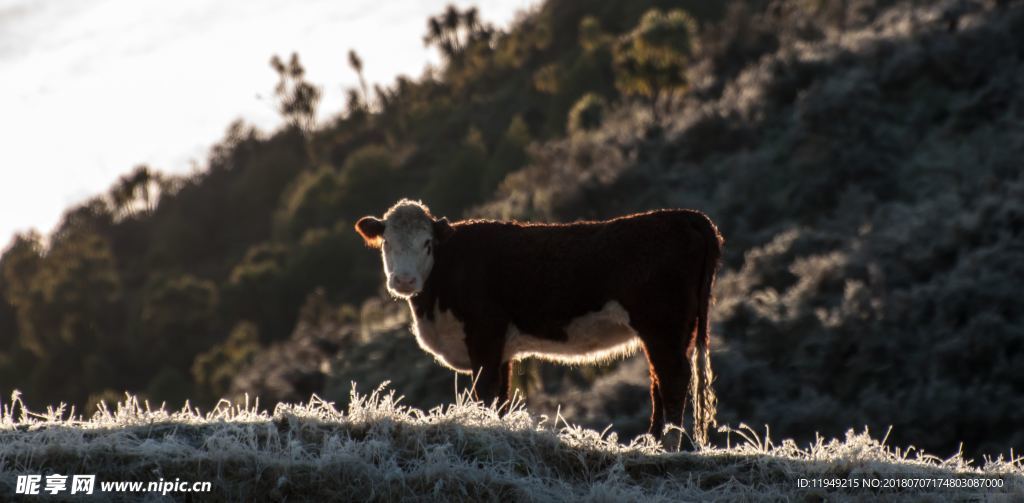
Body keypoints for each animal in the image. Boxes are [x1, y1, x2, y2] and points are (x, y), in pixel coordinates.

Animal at [356, 198, 724, 446]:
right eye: (387, 243)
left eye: (427, 243)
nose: (404, 280)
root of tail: (687, 216)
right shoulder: (502, 349)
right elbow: (501, 398)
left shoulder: (484, 334)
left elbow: (484, 391)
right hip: (675, 331)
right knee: (659, 380)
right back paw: (650, 444)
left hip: (662, 325)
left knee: (673, 379)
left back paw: (667, 445)